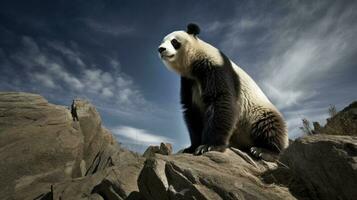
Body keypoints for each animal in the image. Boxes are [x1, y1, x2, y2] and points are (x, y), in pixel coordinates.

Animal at [157, 23, 288, 161]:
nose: (161, 49)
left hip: (256, 114)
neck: (194, 63)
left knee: (269, 126)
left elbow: (220, 100)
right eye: (162, 41)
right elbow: (191, 111)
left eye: (174, 41)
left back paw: (264, 151)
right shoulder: (188, 81)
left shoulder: (215, 67)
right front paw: (192, 147)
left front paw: (209, 146)